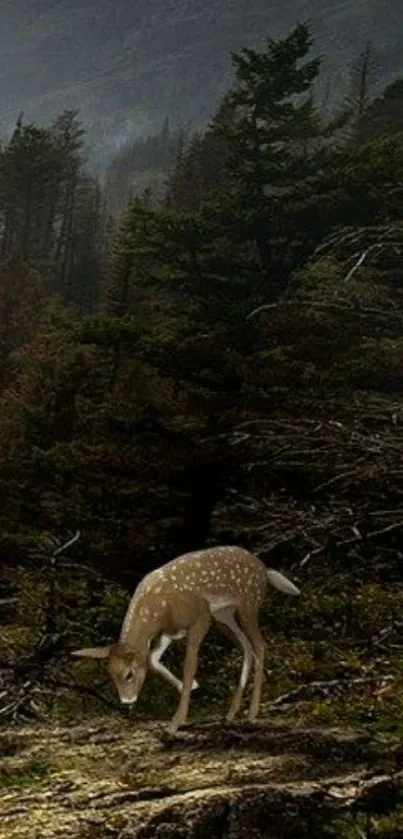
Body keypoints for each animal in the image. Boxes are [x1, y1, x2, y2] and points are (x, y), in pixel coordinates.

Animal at [72, 544, 300, 736]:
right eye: (110, 675)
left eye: (129, 674)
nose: (126, 701)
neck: (158, 611)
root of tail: (265, 569)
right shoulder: (169, 632)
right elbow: (153, 660)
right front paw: (191, 687)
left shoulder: (200, 617)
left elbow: (189, 666)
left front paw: (176, 722)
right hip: (224, 614)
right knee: (246, 647)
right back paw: (231, 714)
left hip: (247, 604)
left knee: (260, 645)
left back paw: (251, 714)